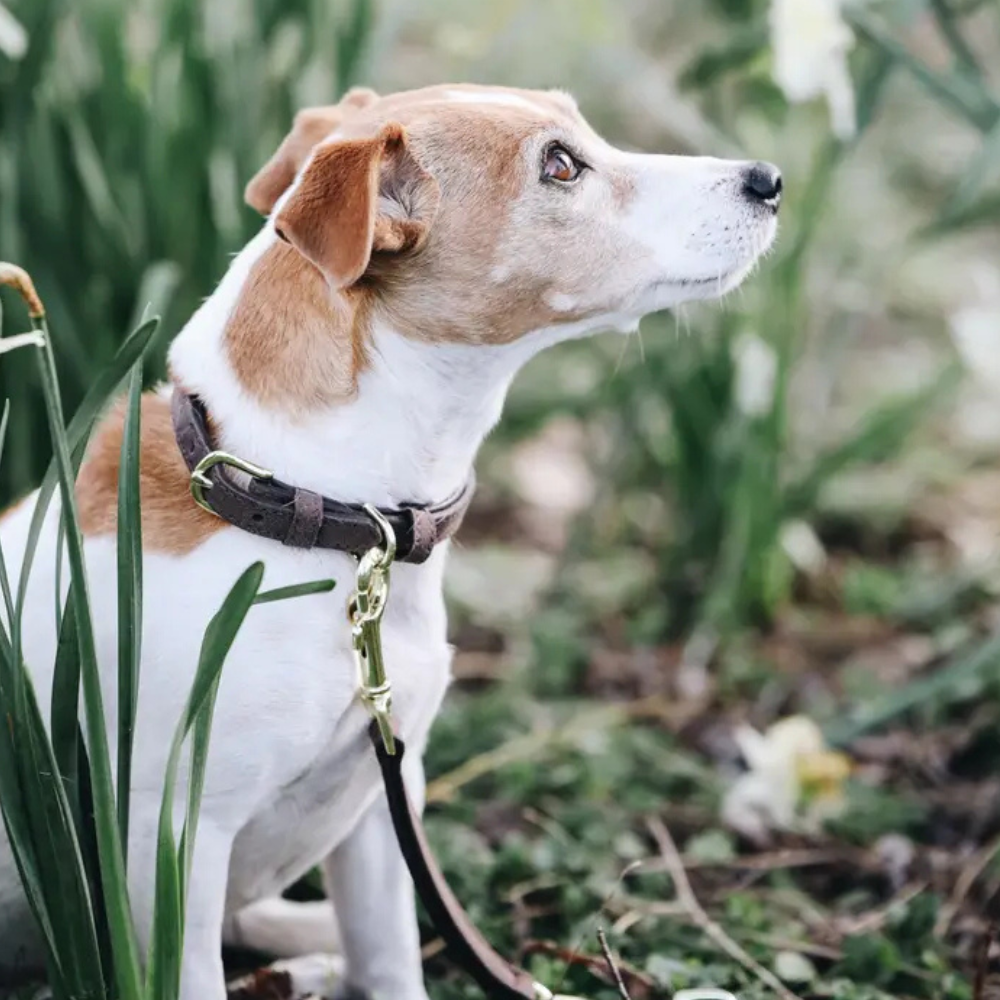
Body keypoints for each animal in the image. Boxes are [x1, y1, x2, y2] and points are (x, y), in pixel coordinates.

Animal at [0, 86, 780, 1000]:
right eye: (560, 166)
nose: (769, 179)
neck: (312, 513)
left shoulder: (381, 797)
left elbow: (390, 959)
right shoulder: (173, 846)